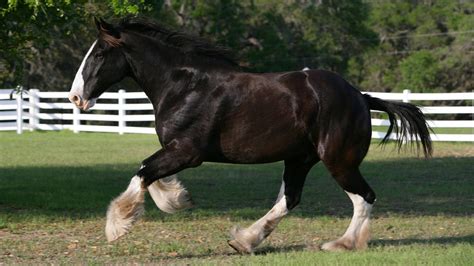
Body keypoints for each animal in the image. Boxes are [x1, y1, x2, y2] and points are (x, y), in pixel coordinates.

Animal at [68, 18, 432, 254]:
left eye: (99, 54)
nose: (75, 97)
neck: (184, 86)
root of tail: (361, 96)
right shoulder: (175, 150)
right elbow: (150, 174)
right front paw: (178, 198)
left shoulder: (187, 151)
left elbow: (143, 171)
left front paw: (117, 226)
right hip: (299, 159)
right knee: (290, 200)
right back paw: (244, 240)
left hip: (338, 161)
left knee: (364, 197)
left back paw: (342, 244)